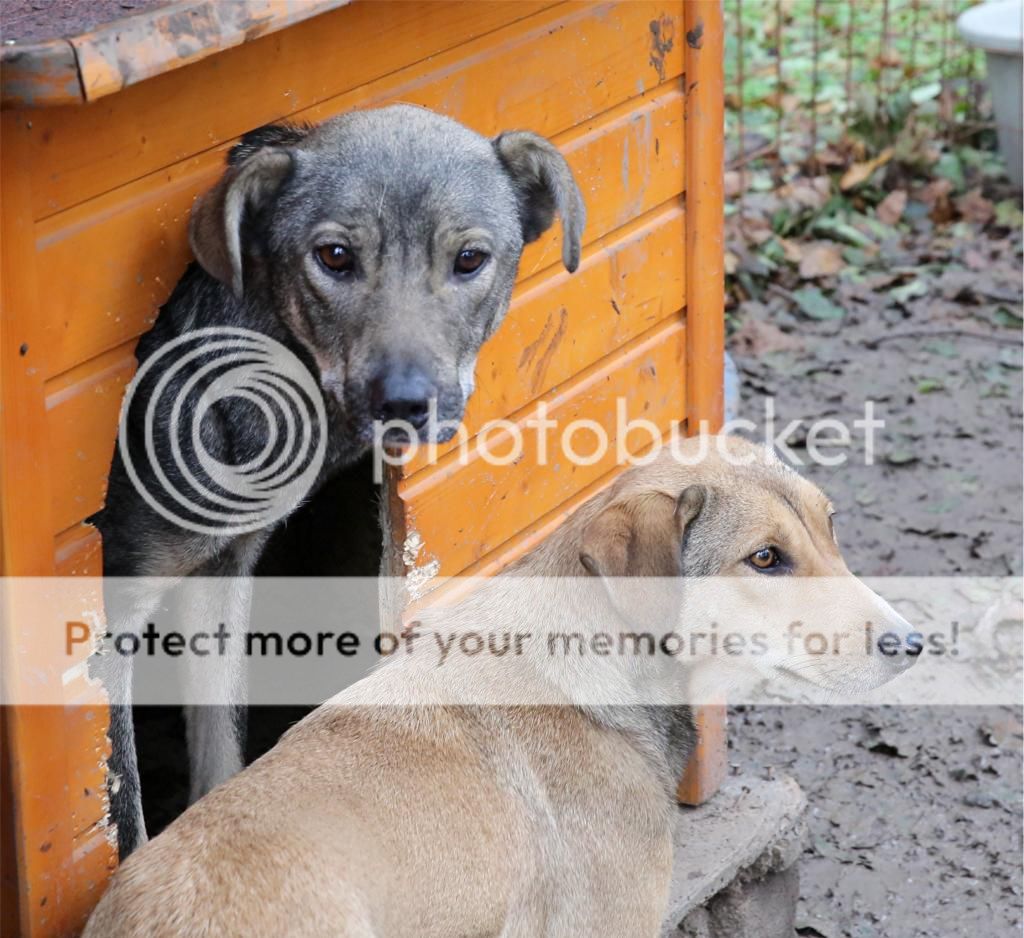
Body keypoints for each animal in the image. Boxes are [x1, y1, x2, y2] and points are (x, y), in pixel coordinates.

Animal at [92, 104, 589, 856]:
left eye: (469, 260)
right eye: (333, 257)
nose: (405, 402)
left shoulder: (222, 574)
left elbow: (223, 748)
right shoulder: (116, 603)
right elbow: (124, 812)